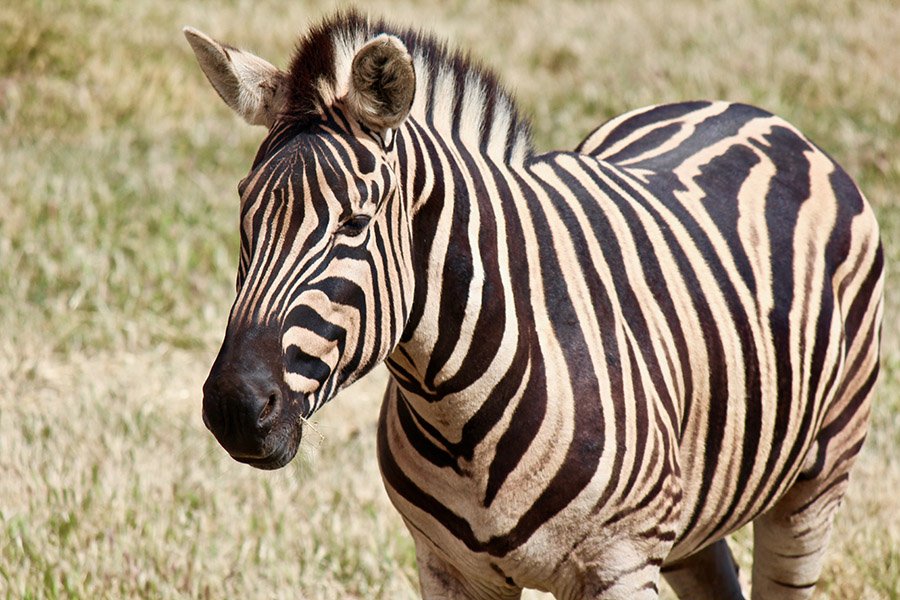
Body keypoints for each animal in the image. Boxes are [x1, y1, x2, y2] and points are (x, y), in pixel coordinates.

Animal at [185, 11, 883, 600]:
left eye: (354, 224)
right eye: (244, 216)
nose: (234, 408)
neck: (458, 414)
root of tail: (750, 112)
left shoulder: (620, 566)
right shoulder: (450, 571)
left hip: (816, 481)